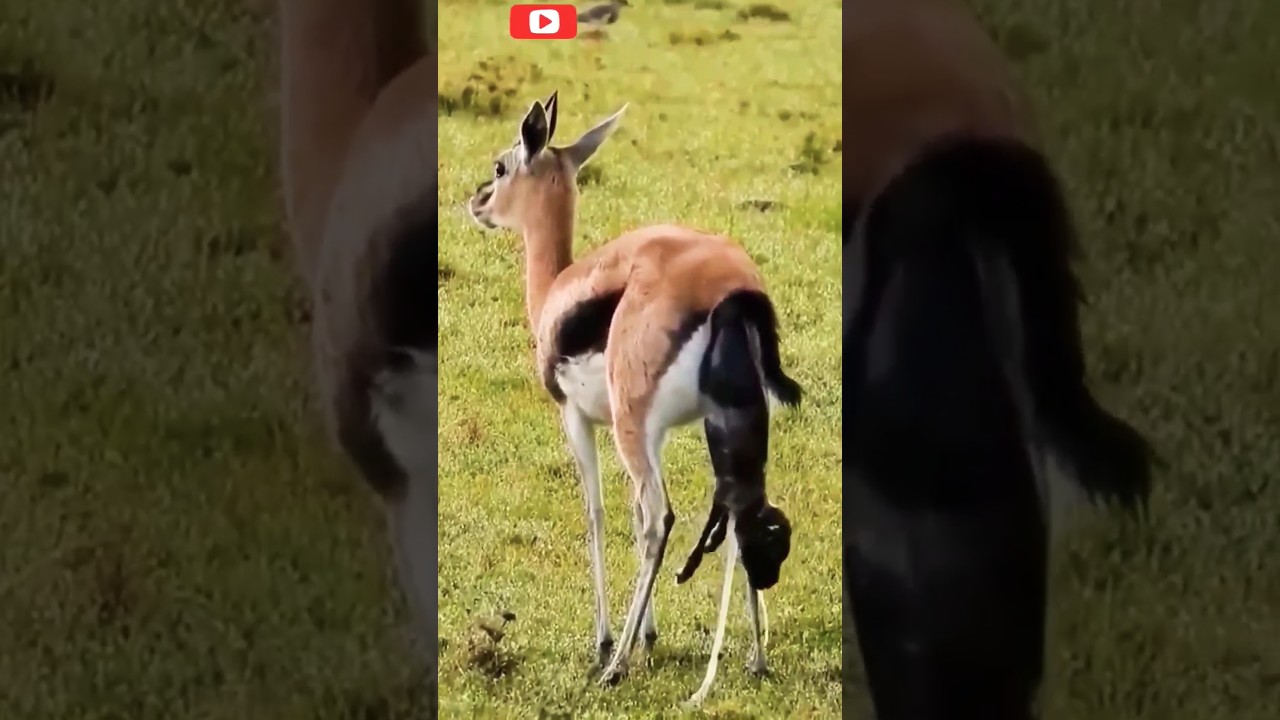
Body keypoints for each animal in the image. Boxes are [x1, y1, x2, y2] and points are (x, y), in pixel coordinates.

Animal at [465, 93, 802, 698]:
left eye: (502, 167)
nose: (476, 201)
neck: (556, 290)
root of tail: (733, 290)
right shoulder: (656, 434)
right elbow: (627, 507)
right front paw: (648, 633)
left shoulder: (580, 419)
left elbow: (598, 512)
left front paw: (607, 639)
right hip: (723, 424)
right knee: (741, 509)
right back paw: (756, 659)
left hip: (633, 425)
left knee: (660, 519)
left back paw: (615, 664)